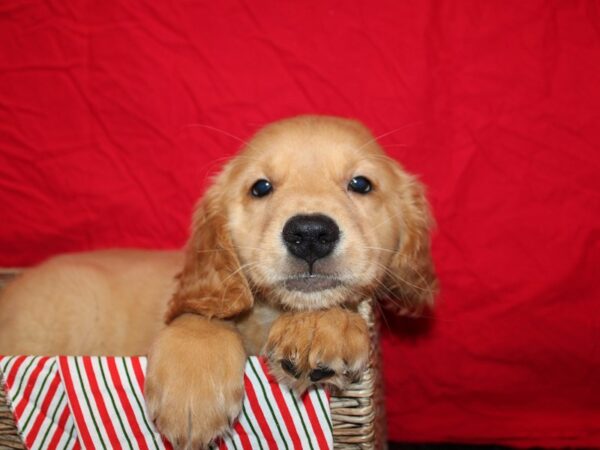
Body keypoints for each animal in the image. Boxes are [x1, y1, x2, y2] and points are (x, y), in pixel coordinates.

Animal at [0, 115, 436, 446]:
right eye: (260, 188)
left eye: (361, 184)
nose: (311, 233)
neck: (266, 318)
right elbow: (200, 317)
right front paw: (192, 393)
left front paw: (321, 327)